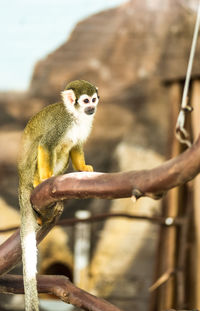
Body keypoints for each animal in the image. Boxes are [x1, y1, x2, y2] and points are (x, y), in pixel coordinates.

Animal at [18, 80, 99, 310]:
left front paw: (83, 167)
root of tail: (21, 177)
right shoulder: (61, 123)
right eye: (85, 101)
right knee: (45, 146)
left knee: (65, 148)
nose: (92, 107)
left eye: (93, 99)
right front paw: (45, 179)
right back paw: (40, 182)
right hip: (29, 170)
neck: (74, 115)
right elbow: (46, 144)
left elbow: (76, 147)